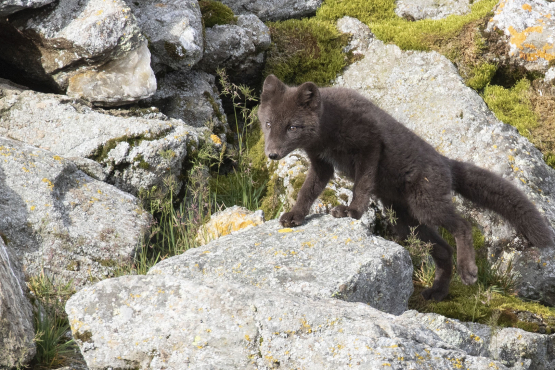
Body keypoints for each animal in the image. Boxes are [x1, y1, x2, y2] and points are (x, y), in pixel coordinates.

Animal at [260, 74, 555, 300]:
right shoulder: (322, 164)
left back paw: (468, 271)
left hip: (426, 205)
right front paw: (295, 216)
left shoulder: (370, 145)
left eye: (293, 126)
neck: (328, 128)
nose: (272, 155)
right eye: (269, 124)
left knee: (462, 226)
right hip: (407, 221)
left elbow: (362, 185)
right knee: (444, 250)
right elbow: (307, 192)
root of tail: (446, 163)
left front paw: (352, 211)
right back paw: (437, 293)